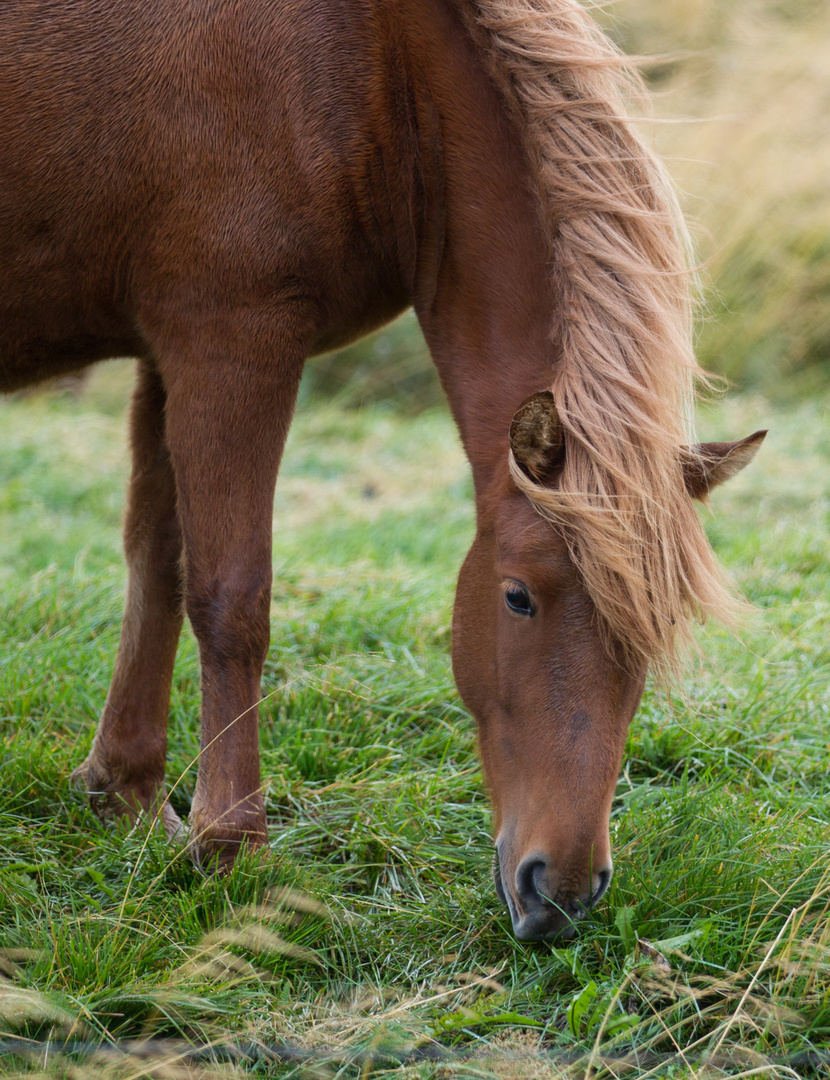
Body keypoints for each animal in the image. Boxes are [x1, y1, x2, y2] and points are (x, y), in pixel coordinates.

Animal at [1, 0, 764, 941]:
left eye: (655, 636)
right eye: (517, 596)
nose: (562, 893)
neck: (377, 68)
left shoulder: (165, 350)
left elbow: (158, 561)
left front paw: (128, 798)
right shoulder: (230, 344)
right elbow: (230, 598)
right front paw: (231, 846)